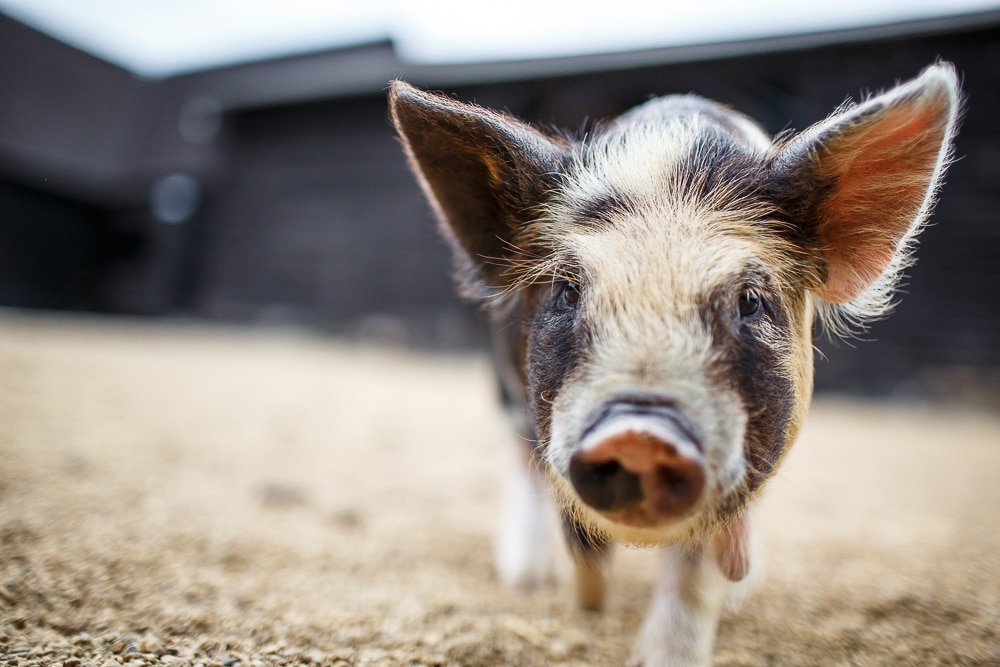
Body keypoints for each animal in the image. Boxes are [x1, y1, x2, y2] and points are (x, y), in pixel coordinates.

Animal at [388, 63, 960, 666]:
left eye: (750, 301)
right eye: (567, 291)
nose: (638, 433)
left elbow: (694, 568)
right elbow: (580, 536)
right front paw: (590, 605)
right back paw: (523, 577)